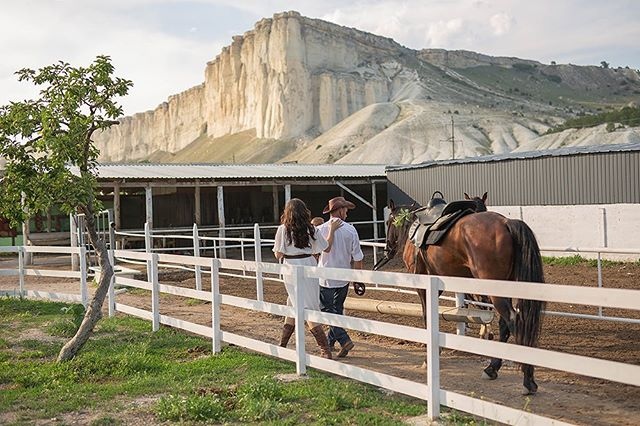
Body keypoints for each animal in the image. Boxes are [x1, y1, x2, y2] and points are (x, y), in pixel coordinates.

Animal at [378, 196, 548, 396]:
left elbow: (427, 317)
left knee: (513, 322)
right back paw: (492, 368)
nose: (387, 249)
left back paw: (527, 380)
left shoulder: (423, 287)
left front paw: (429, 357)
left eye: (388, 222)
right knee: (505, 324)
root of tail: (506, 223)